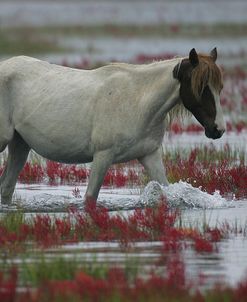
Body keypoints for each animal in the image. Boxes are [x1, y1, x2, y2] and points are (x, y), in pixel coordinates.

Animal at [0, 47, 225, 205]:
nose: (218, 129)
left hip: (20, 145)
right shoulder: (103, 156)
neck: (138, 101)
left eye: (219, 88)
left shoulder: (149, 155)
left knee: (7, 188)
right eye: (201, 87)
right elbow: (90, 198)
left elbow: (165, 190)